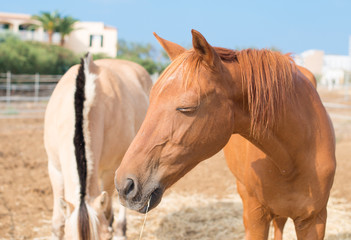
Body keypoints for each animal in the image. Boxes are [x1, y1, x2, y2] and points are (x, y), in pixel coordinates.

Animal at [44, 54, 152, 240]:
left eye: (105, 237)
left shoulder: (110, 171)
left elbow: (108, 214)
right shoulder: (55, 169)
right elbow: (58, 223)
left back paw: (121, 229)